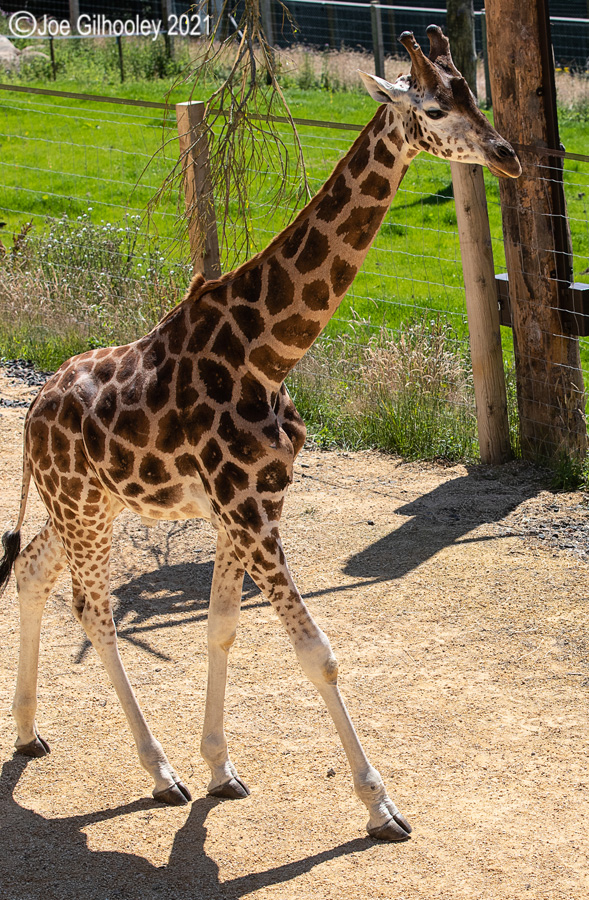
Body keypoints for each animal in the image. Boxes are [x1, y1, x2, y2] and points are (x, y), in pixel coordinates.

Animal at [0, 27, 520, 842]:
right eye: (434, 108)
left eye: (474, 94)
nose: (506, 156)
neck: (269, 350)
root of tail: (29, 416)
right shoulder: (244, 507)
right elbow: (317, 652)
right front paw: (379, 806)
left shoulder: (246, 508)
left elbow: (221, 628)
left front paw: (222, 768)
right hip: (83, 506)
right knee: (93, 609)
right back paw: (157, 772)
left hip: (84, 502)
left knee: (30, 571)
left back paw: (28, 733)